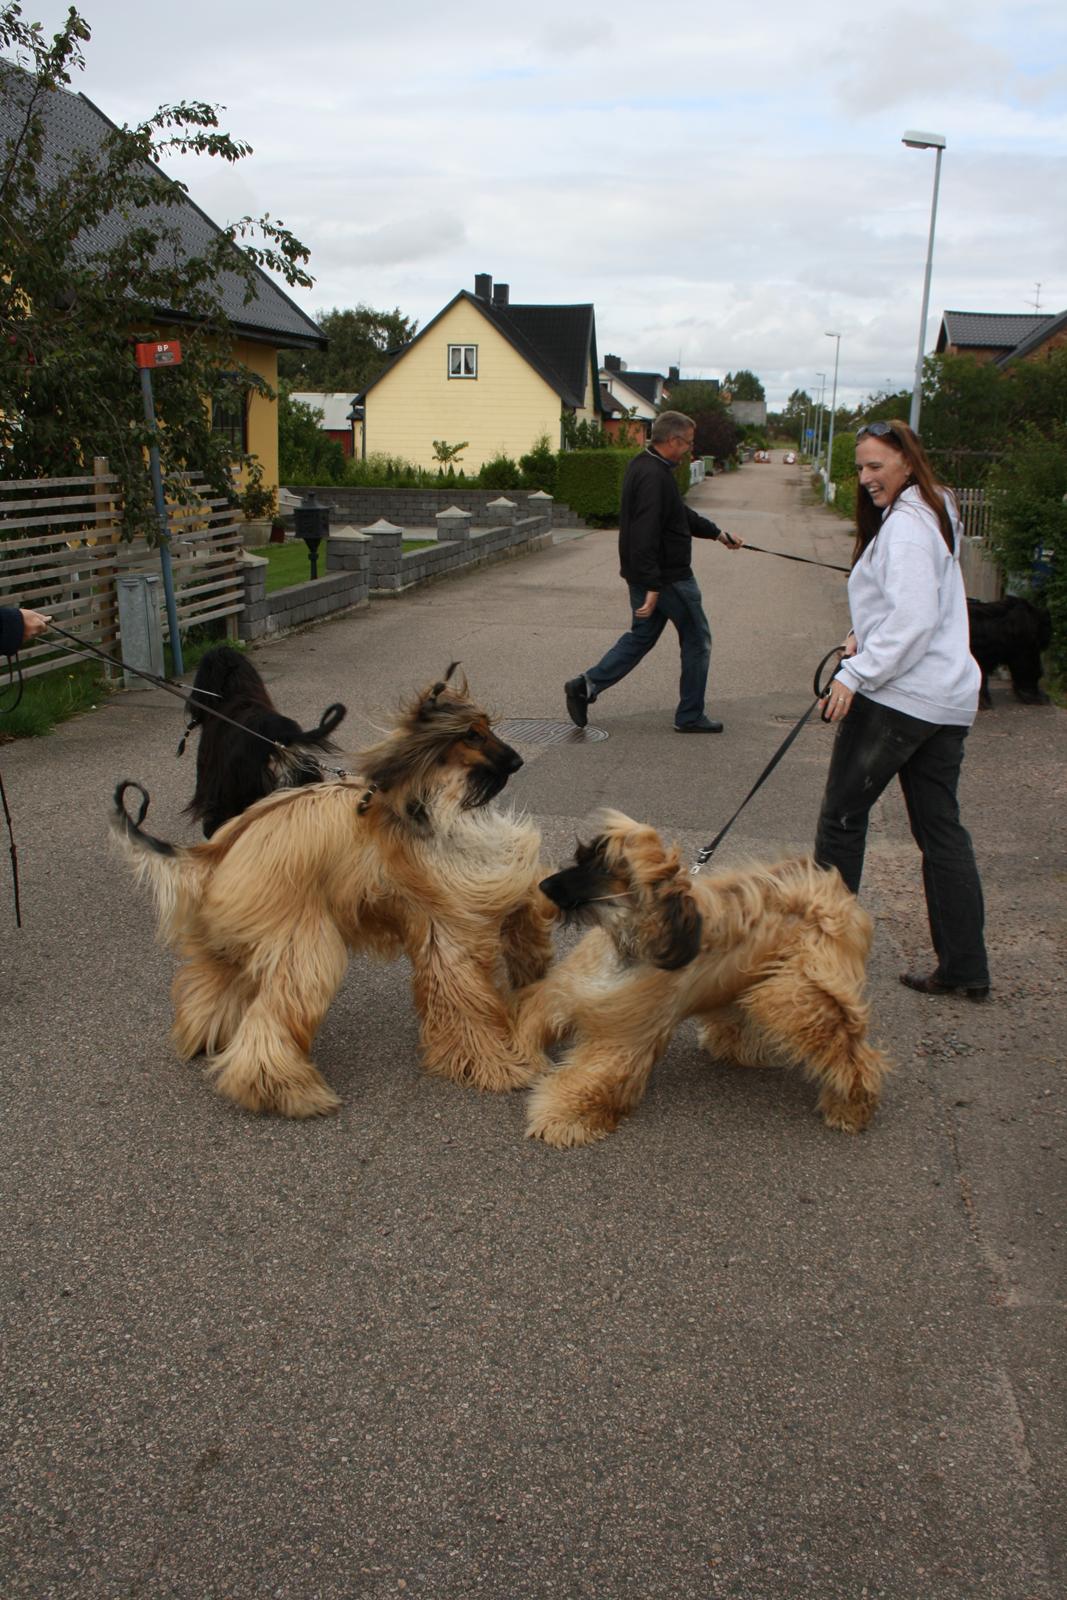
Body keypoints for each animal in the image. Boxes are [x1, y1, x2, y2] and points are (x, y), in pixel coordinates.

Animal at [112, 668, 556, 1120]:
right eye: (472, 735)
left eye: (487, 729)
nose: (517, 761)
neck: (418, 798)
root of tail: (214, 851)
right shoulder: (450, 910)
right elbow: (465, 989)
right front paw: (496, 1063)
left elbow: (524, 895)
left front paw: (532, 963)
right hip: (300, 941)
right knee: (273, 1015)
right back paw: (281, 1090)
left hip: (227, 940)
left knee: (211, 987)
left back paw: (206, 1038)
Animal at [511, 819, 889, 1145]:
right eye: (582, 857)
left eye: (603, 868)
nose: (542, 885)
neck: (629, 948)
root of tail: (829, 894)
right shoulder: (568, 993)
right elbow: (530, 1020)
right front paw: (516, 1060)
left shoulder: (624, 1035)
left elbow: (599, 1074)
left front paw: (563, 1116)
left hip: (802, 992)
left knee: (849, 1049)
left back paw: (851, 1106)